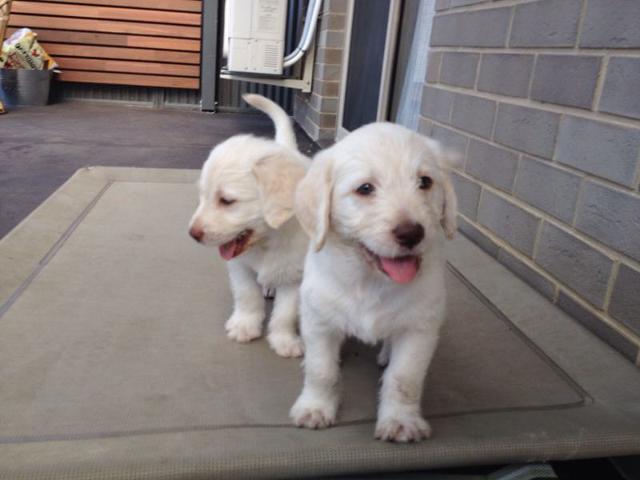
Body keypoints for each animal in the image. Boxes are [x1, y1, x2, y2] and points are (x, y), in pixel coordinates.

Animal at [188, 93, 310, 356]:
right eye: (202, 196)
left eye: (226, 201)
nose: (192, 234)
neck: (269, 242)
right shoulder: (239, 267)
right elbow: (247, 296)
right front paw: (244, 326)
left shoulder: (297, 275)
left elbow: (286, 312)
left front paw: (284, 340)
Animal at [288, 123, 458, 442]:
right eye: (365, 188)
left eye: (425, 182)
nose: (411, 233)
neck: (370, 280)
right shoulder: (319, 319)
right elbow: (321, 370)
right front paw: (315, 407)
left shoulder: (420, 328)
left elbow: (405, 378)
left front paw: (401, 420)